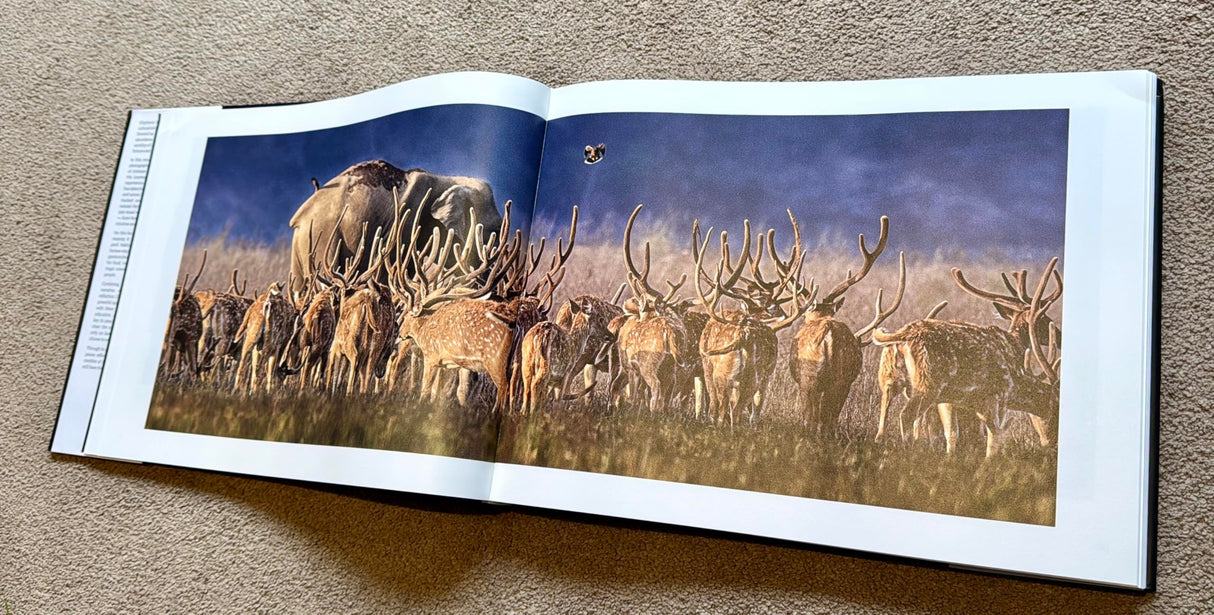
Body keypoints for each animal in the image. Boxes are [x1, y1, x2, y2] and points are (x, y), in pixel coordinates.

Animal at [287, 160, 501, 296]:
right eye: (496, 230)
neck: (449, 180)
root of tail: (300, 216)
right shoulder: (406, 222)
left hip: (302, 244)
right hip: (323, 237)